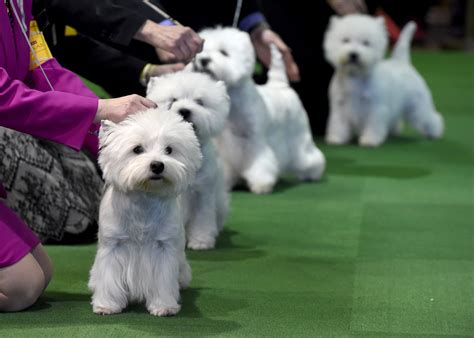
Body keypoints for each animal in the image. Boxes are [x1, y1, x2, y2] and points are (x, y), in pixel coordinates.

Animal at [89, 108, 202, 316]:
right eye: (137, 149)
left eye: (169, 150)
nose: (157, 165)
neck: (144, 198)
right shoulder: (113, 246)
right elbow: (108, 278)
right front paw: (106, 305)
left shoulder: (164, 248)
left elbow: (163, 280)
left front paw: (164, 306)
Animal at [147, 71, 231, 250]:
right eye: (173, 100)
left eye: (200, 102)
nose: (184, 110)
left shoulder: (203, 192)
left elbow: (202, 219)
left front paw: (201, 241)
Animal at [193, 27, 326, 193]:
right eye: (202, 51)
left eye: (223, 52)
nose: (203, 60)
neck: (233, 104)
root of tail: (280, 85)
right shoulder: (224, 144)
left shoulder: (254, 140)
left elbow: (260, 161)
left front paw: (261, 184)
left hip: (299, 134)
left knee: (309, 155)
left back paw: (312, 173)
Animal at [324, 14, 442, 147]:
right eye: (345, 40)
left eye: (366, 43)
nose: (353, 54)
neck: (355, 77)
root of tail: (402, 62)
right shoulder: (340, 107)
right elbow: (338, 123)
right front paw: (337, 138)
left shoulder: (376, 107)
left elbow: (373, 124)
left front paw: (370, 140)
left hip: (418, 104)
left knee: (429, 117)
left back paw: (434, 133)